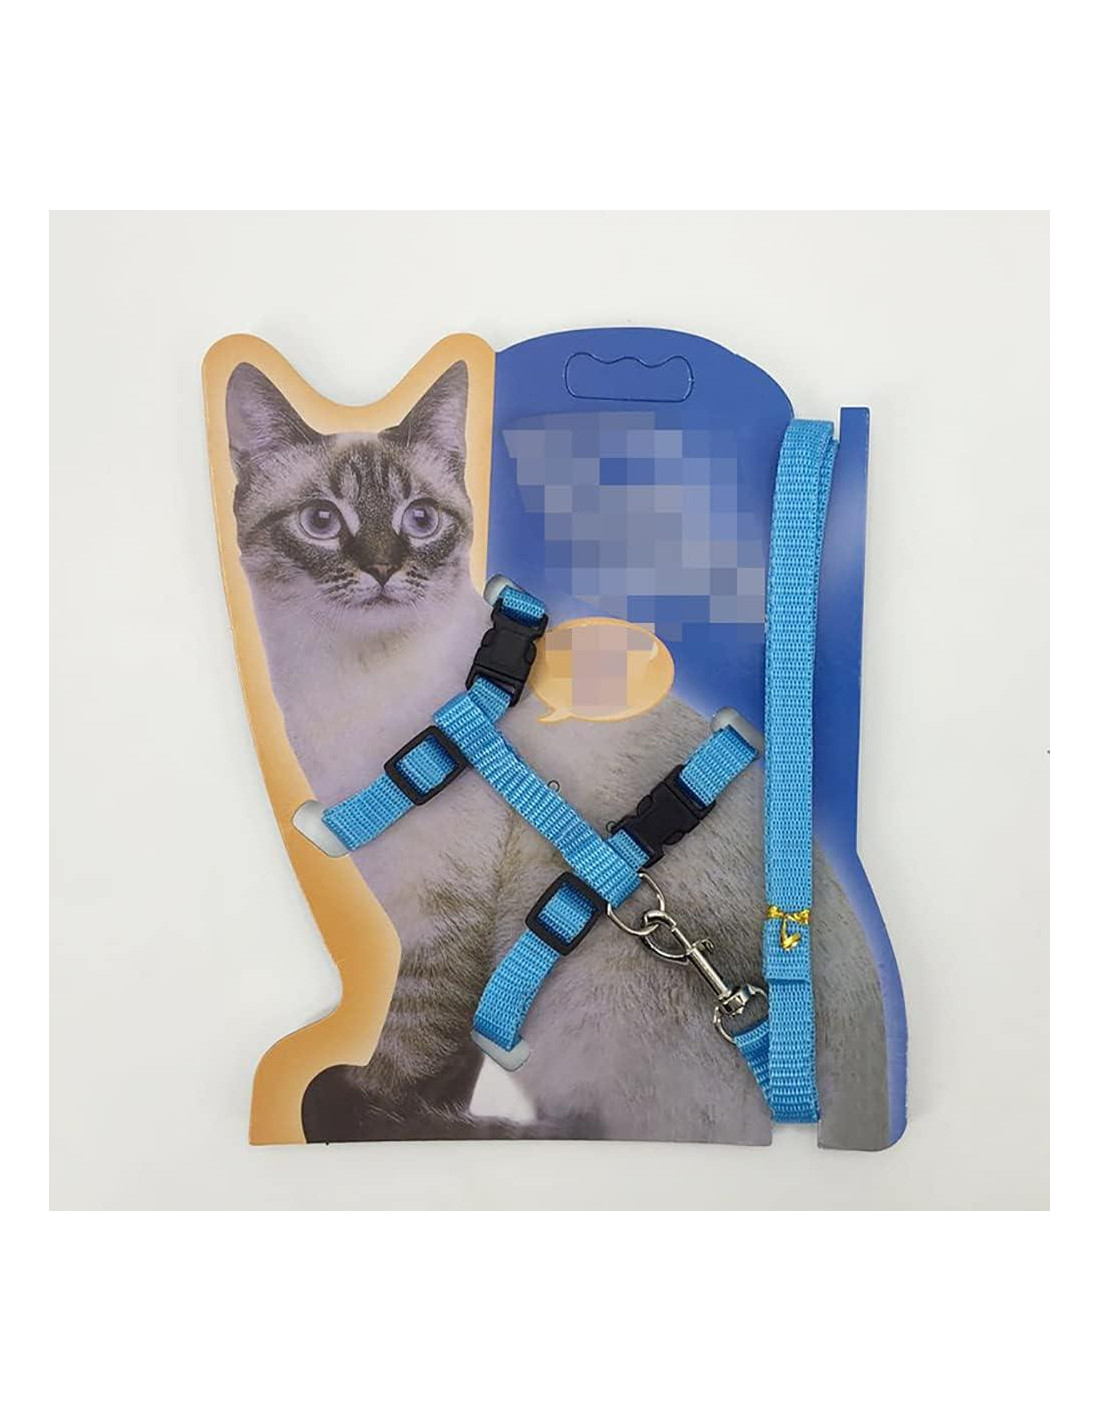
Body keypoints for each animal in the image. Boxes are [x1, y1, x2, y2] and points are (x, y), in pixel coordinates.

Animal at [227, 359, 891, 1150]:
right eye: (322, 523)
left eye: (420, 520)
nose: (385, 571)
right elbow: (441, 1064)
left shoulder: (445, 921)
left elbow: (412, 1045)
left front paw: (367, 1105)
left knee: (591, 1128)